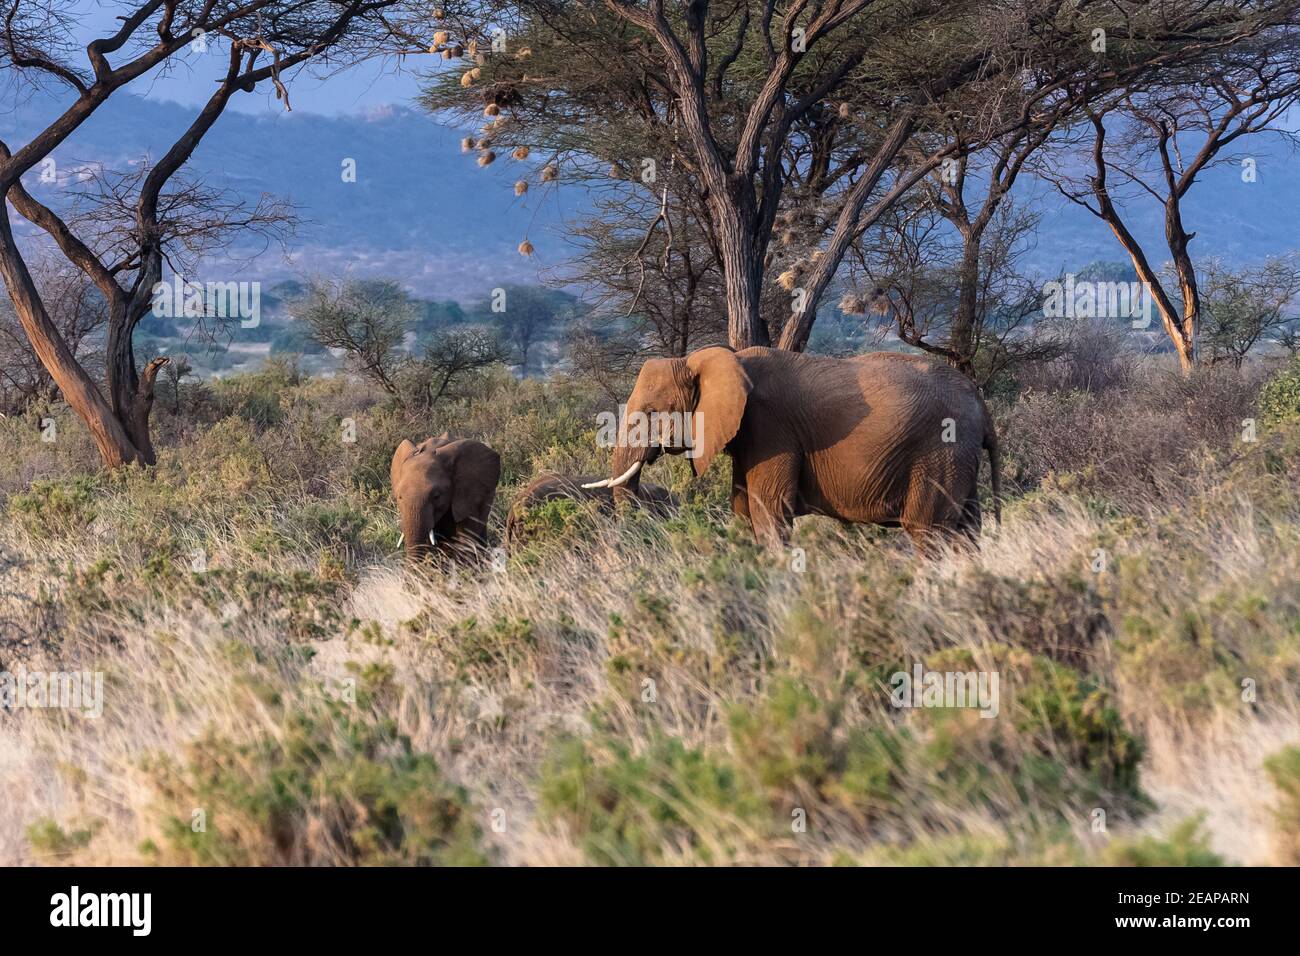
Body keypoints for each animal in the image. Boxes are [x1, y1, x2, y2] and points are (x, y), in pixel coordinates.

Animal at [590, 348, 1003, 548]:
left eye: (651, 412)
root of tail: (982, 406)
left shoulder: (771, 428)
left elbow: (768, 510)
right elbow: (743, 509)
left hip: (939, 452)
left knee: (928, 531)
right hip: (957, 459)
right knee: (967, 530)